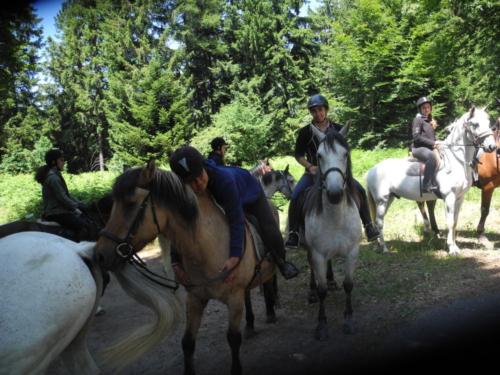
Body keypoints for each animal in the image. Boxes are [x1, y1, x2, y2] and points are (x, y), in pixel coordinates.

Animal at [298, 125, 362, 340]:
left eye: (345, 154)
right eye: (319, 155)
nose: (334, 194)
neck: (335, 219)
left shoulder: (352, 252)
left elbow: (348, 285)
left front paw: (349, 319)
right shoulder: (317, 253)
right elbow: (322, 290)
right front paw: (322, 324)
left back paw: (333, 280)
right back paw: (310, 292)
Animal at [368, 108, 496, 256]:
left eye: (488, 123)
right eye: (475, 124)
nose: (491, 146)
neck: (456, 161)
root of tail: (372, 170)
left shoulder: (459, 198)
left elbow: (455, 222)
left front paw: (455, 247)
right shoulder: (449, 197)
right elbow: (450, 222)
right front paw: (452, 249)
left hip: (389, 199)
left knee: (378, 222)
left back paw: (378, 245)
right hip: (382, 201)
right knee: (379, 222)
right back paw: (384, 248)